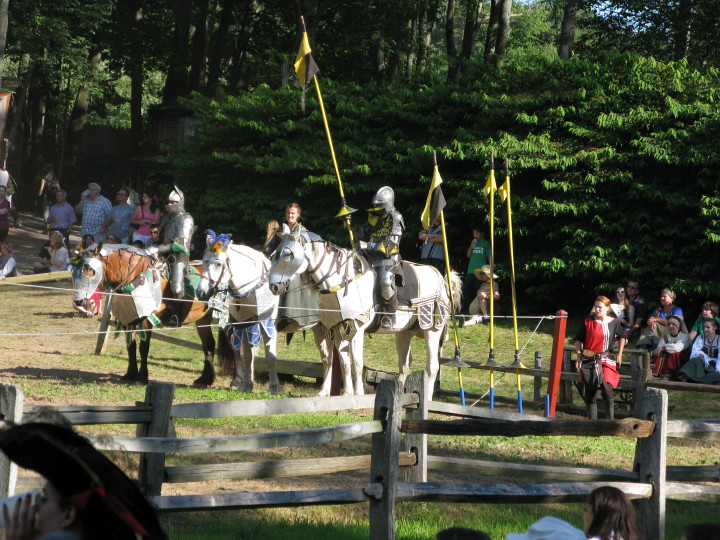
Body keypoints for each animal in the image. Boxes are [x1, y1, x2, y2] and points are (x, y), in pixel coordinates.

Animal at [74, 247, 222, 386]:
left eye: (91, 270)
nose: (79, 302)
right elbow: (131, 346)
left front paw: (142, 377)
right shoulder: (129, 320)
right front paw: (130, 374)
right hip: (203, 319)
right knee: (208, 345)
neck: (135, 278)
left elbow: (143, 348)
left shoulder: (146, 321)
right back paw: (205, 379)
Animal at [198, 230, 330, 394]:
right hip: (319, 328)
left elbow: (270, 357)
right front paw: (247, 385)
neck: (254, 288)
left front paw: (273, 387)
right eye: (204, 261)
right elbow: (247, 356)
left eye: (218, 264)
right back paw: (326, 389)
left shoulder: (268, 327)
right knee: (326, 357)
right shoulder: (246, 325)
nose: (201, 293)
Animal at [266, 230, 462, 398]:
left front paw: (358, 394)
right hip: (404, 333)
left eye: (288, 254)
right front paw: (346, 394)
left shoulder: (356, 328)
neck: (341, 282)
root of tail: (441, 278)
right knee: (404, 366)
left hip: (432, 329)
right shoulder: (338, 328)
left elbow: (357, 364)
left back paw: (426, 399)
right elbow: (344, 363)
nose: (273, 287)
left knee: (432, 367)